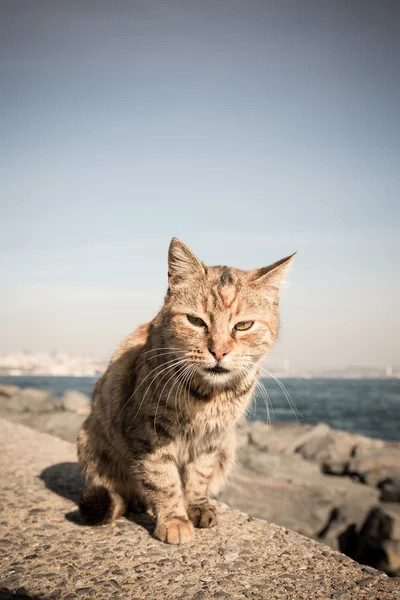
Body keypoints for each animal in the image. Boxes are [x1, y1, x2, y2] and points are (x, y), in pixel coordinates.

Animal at [76, 238, 294, 544]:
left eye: (243, 325)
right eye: (196, 321)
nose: (219, 351)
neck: (209, 395)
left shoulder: (213, 438)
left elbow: (200, 474)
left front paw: (196, 506)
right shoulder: (147, 433)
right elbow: (163, 478)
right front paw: (174, 519)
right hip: (92, 442)